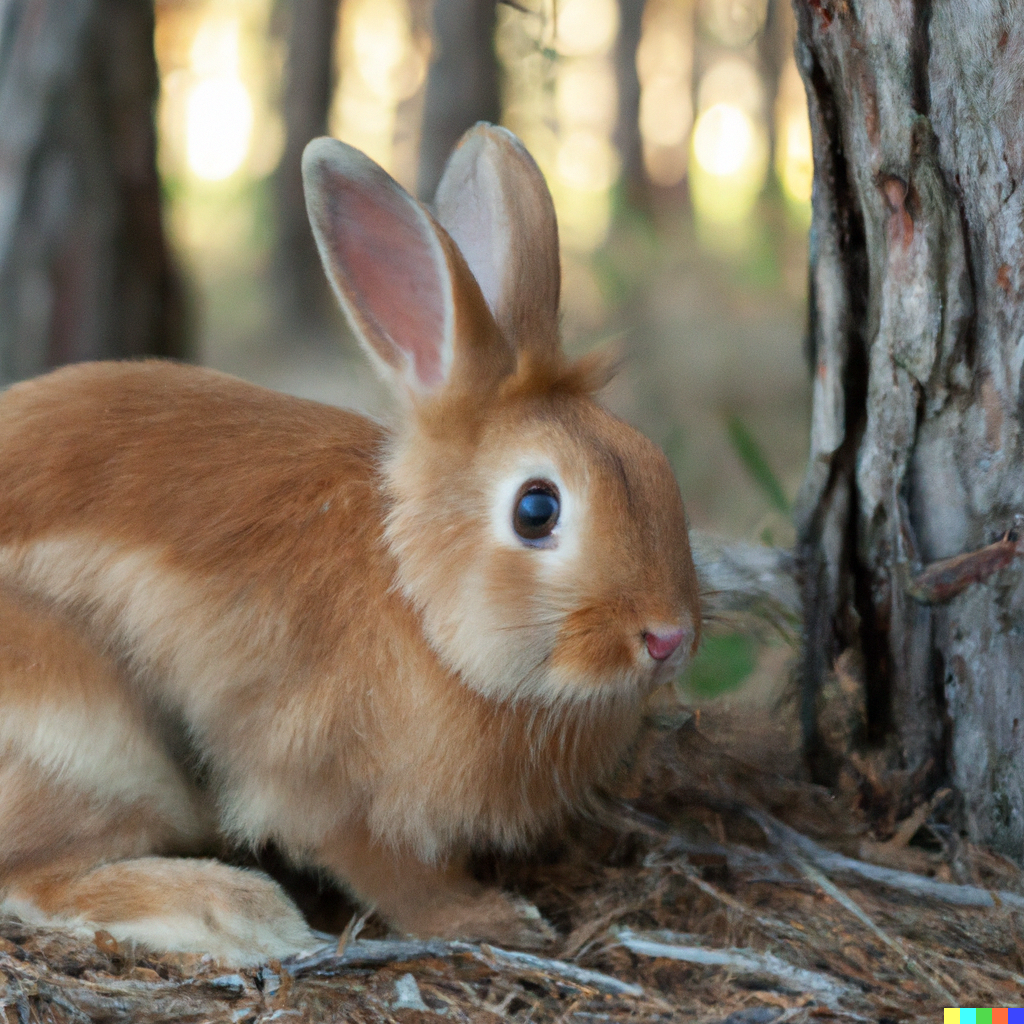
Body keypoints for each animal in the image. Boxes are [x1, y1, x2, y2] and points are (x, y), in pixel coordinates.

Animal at [0, 123, 700, 962]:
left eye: (657, 464)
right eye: (537, 509)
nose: (669, 638)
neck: (413, 596)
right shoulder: (325, 787)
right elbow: (392, 877)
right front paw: (490, 919)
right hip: (85, 738)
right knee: (33, 880)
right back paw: (240, 913)